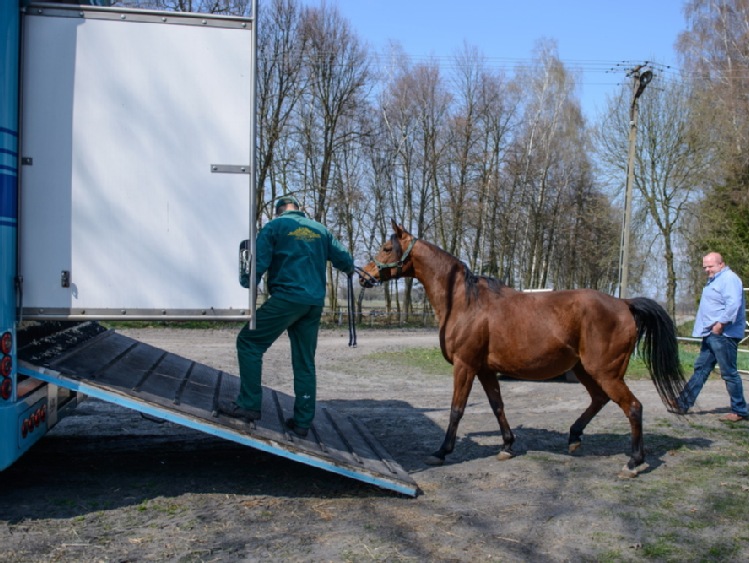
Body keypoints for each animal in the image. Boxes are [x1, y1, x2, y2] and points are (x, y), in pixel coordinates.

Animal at [360, 223, 688, 478]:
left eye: (387, 248)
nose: (364, 276)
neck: (465, 302)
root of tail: (624, 304)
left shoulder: (465, 365)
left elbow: (457, 409)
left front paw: (441, 451)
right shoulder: (485, 369)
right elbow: (497, 406)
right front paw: (507, 445)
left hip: (604, 371)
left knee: (633, 407)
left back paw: (634, 462)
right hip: (585, 369)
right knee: (600, 399)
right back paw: (574, 436)